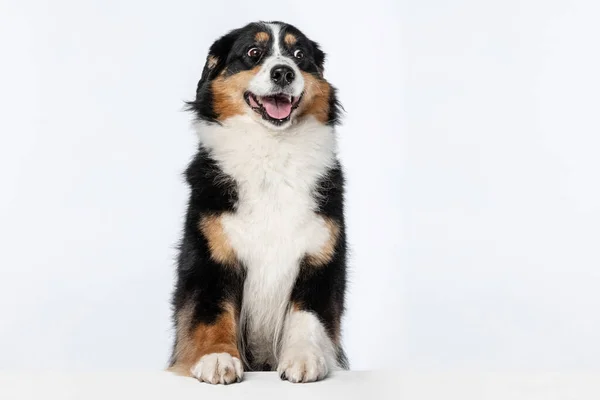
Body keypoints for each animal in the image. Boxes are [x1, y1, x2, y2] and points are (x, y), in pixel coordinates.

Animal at [168, 20, 346, 382]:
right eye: (253, 52)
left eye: (299, 54)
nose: (283, 72)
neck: (271, 154)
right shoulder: (210, 257)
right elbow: (213, 314)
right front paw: (217, 358)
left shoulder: (321, 258)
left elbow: (308, 316)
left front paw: (304, 358)